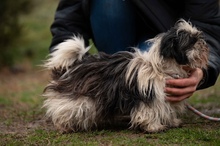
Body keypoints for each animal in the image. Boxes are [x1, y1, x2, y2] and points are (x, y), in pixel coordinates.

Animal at [42, 18, 209, 133]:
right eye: (191, 41)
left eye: (198, 36)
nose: (202, 42)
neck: (161, 69)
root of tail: (71, 68)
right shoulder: (149, 97)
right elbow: (150, 111)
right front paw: (153, 127)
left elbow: (167, 110)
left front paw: (172, 121)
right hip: (79, 100)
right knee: (65, 109)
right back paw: (64, 126)